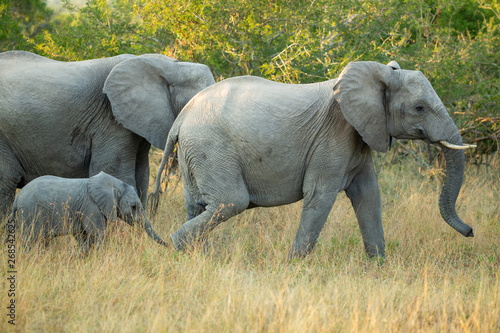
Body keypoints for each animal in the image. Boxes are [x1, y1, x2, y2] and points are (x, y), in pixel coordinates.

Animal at [10, 171, 167, 252]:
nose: (168, 245)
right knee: (31, 239)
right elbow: (98, 234)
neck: (114, 183)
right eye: (133, 207)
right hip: (30, 212)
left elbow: (84, 237)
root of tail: (17, 198)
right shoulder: (91, 207)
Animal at [153, 59, 476, 260]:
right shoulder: (335, 134)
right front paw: (292, 267)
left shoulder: (359, 136)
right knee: (231, 202)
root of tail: (182, 117)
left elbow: (369, 195)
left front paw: (379, 266)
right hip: (211, 146)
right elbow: (320, 195)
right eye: (420, 108)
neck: (377, 72)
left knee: (198, 205)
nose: (471, 232)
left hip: (194, 152)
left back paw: (198, 255)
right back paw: (178, 247)